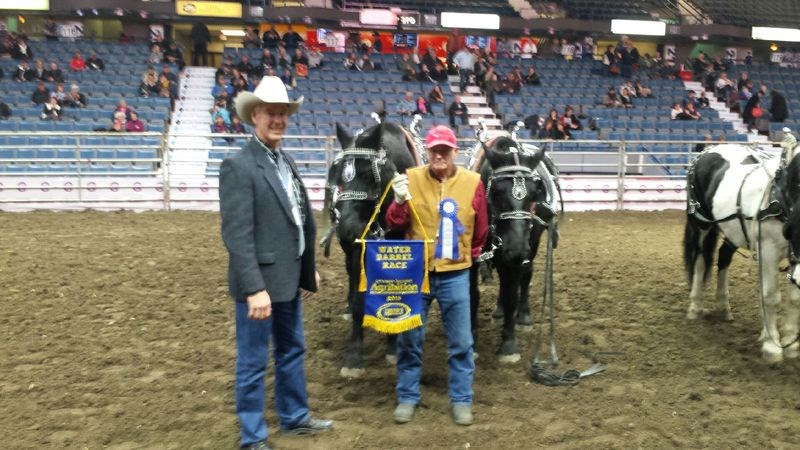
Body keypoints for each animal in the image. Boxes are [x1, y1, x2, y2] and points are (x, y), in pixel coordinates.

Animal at [318, 119, 418, 376]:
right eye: (338, 173)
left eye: (367, 173)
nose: (347, 230)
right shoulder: (356, 252)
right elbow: (358, 300)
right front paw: (353, 356)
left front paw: (393, 347)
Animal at [476, 134, 564, 362]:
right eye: (496, 192)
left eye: (534, 194)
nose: (516, 250)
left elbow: (511, 294)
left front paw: (508, 344)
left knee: (526, 275)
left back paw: (523, 315)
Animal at [684, 134, 800, 362]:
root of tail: (705, 152)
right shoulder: (769, 250)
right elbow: (770, 296)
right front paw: (772, 346)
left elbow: (794, 298)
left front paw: (791, 344)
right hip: (701, 224)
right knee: (700, 262)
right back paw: (695, 306)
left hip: (733, 231)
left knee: (723, 257)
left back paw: (723, 306)